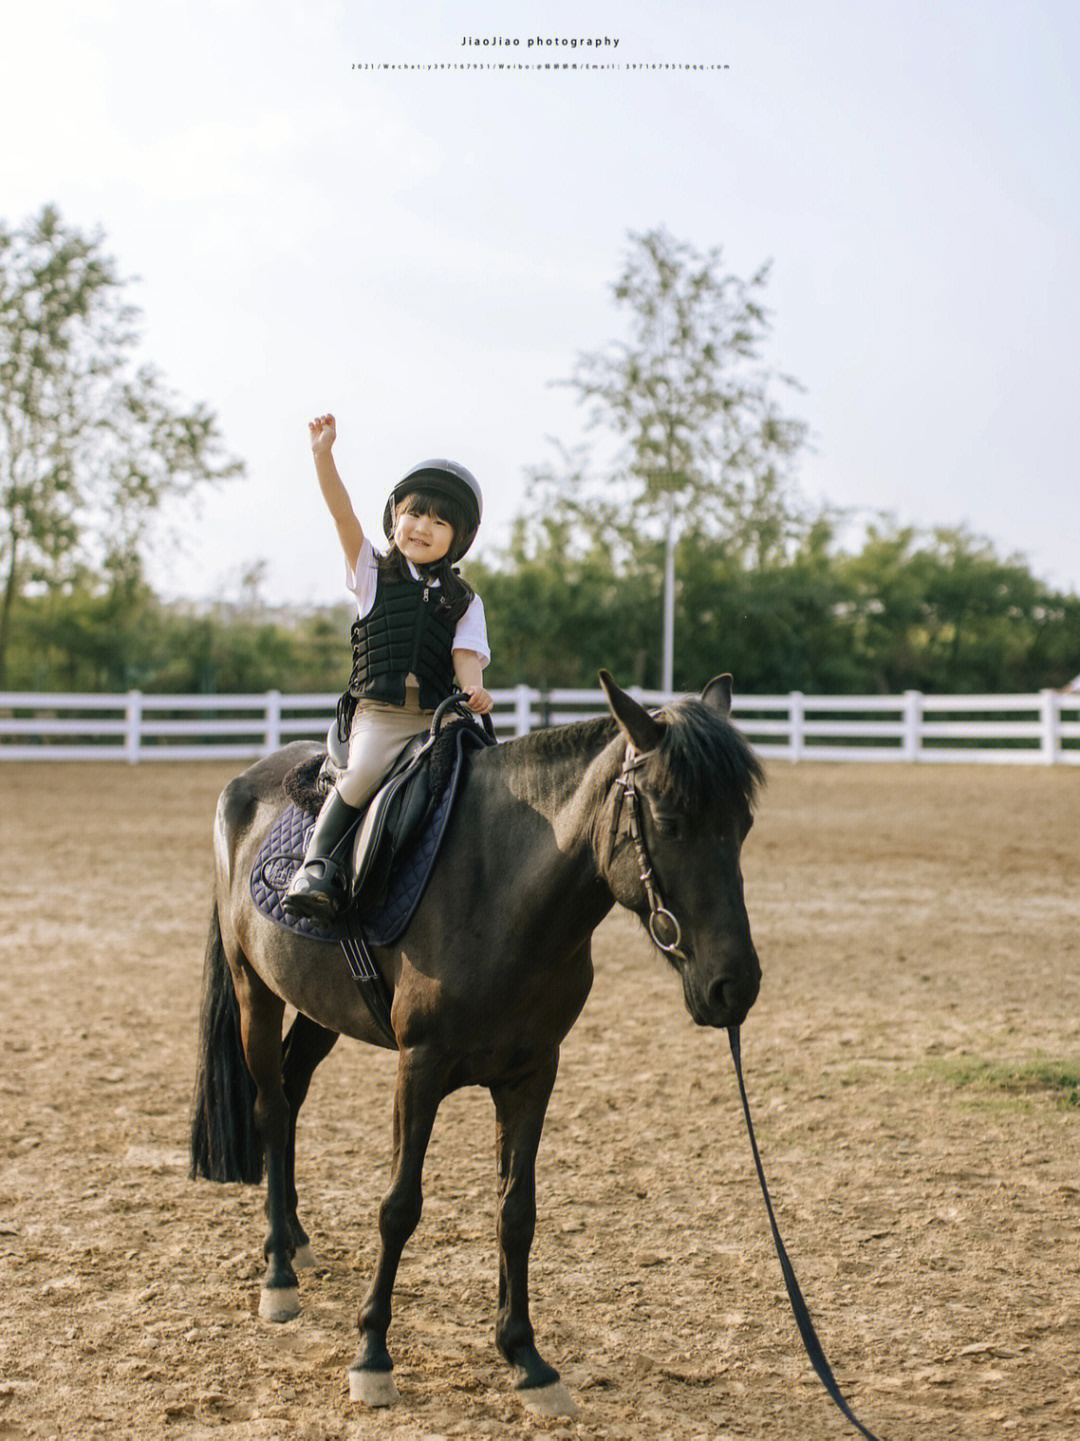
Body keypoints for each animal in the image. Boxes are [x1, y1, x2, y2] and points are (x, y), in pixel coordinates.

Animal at [188, 671, 761, 1417]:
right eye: (669, 822)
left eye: (742, 825)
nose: (735, 986)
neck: (499, 891)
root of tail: (244, 784)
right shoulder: (420, 1066)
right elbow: (400, 1207)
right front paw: (372, 1355)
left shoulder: (533, 1071)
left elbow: (517, 1210)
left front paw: (526, 1357)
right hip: (254, 991)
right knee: (271, 1107)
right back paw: (279, 1270)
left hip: (321, 1011)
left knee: (289, 1097)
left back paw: (297, 1242)